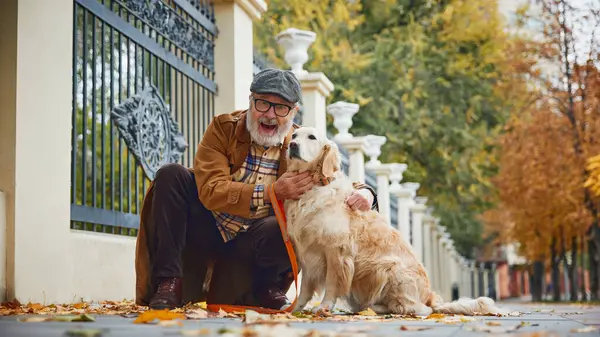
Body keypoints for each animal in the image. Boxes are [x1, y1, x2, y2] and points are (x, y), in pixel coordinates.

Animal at [284, 126, 506, 316]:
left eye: (311, 137)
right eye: (294, 136)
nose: (292, 145)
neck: (314, 187)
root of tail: (430, 296)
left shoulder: (337, 251)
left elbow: (332, 284)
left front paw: (323, 307)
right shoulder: (307, 251)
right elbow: (304, 287)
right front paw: (295, 309)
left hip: (389, 268)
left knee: (417, 309)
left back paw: (376, 308)